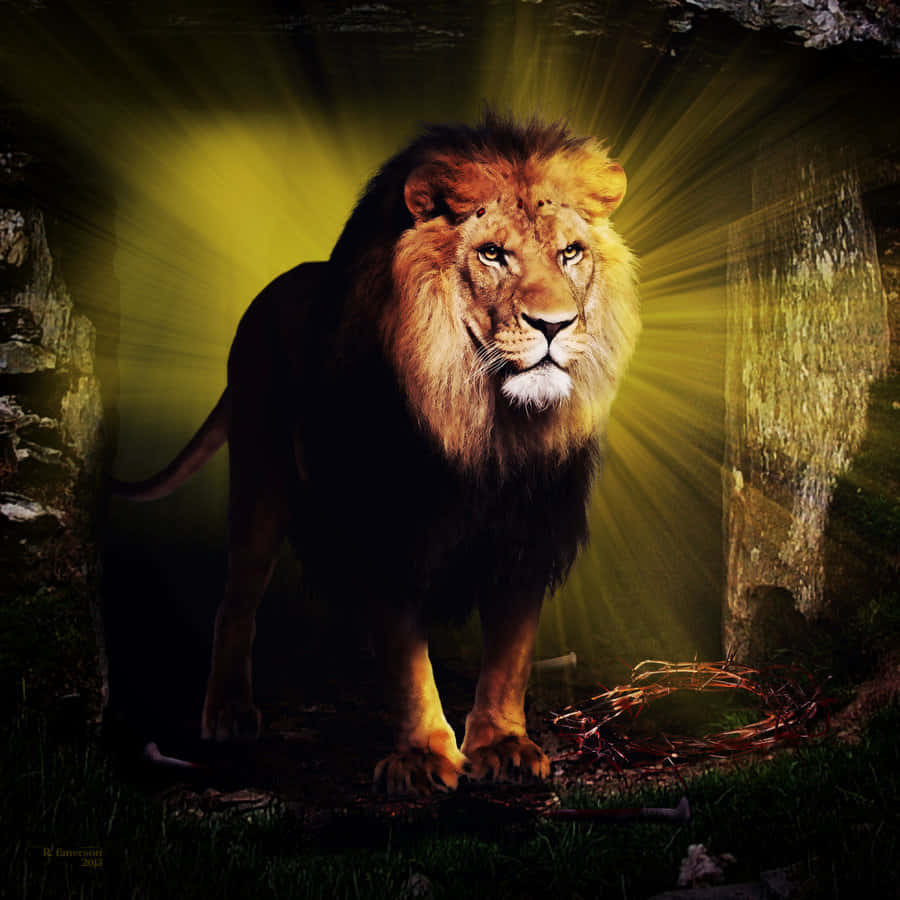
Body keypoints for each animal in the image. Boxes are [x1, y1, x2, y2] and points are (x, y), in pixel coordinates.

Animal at [113, 114, 639, 794]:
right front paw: (422, 756)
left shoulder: (529, 529)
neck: (487, 428)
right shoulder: (388, 525)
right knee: (236, 599)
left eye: (570, 253)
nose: (554, 325)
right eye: (492, 253)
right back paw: (228, 711)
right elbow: (405, 656)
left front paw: (503, 745)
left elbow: (511, 655)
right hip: (261, 481)